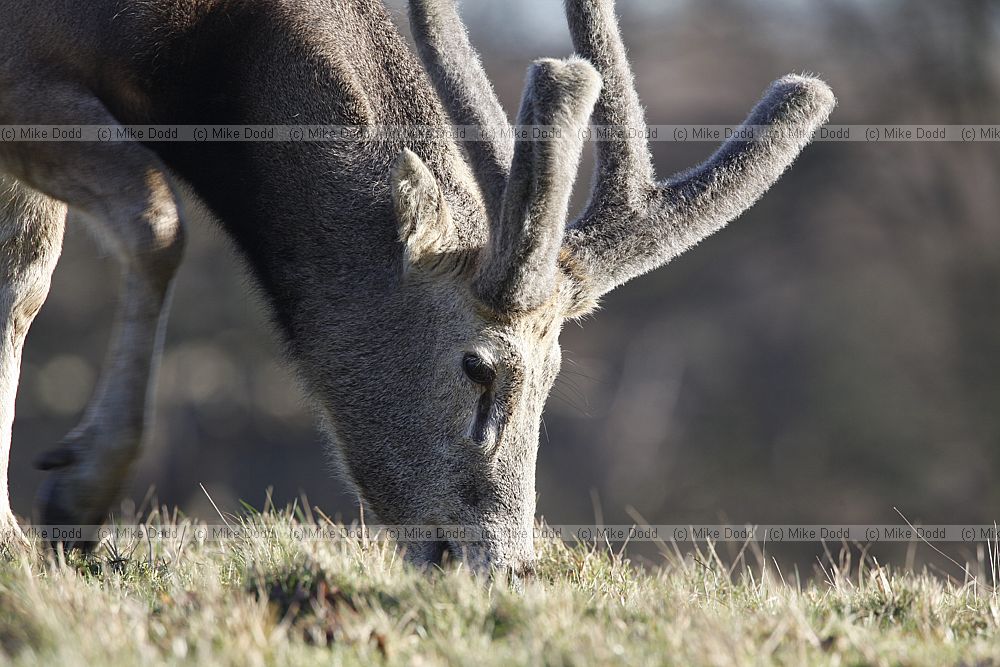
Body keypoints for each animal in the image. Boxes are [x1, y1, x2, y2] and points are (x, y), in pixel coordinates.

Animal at [0, 0, 834, 574]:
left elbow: (24, 283)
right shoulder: (26, 70)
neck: (172, 48)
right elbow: (155, 223)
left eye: (559, 376)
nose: (503, 564)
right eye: (477, 365)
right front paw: (77, 493)